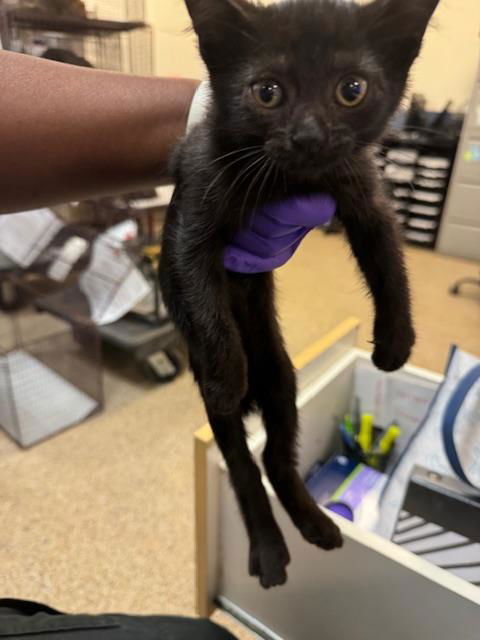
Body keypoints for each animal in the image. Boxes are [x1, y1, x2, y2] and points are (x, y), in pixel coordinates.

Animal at [161, 0, 438, 592]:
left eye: (352, 89)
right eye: (267, 92)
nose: (309, 136)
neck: (287, 183)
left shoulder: (362, 192)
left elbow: (391, 266)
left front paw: (396, 341)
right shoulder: (193, 218)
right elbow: (202, 293)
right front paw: (226, 376)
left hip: (283, 378)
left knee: (275, 460)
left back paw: (315, 524)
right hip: (224, 405)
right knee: (243, 468)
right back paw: (269, 552)